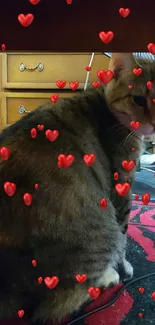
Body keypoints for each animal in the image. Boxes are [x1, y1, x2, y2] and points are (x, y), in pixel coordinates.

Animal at [0, 52, 153, 322]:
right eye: (138, 99)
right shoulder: (122, 185)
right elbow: (124, 237)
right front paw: (123, 267)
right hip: (98, 233)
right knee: (59, 303)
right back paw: (107, 277)